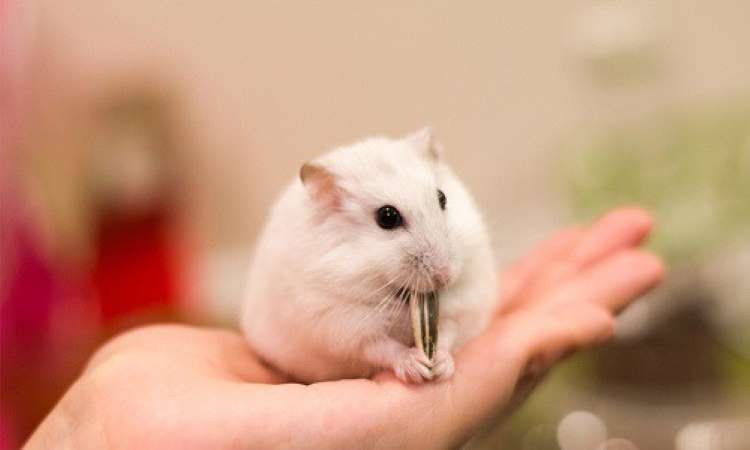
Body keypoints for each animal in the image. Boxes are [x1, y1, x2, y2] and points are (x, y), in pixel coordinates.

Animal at [241, 128, 497, 383]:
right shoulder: (345, 328)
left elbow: (448, 332)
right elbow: (381, 347)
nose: (445, 276)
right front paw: (417, 366)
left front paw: (441, 367)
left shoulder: (463, 308)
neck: (400, 297)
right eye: (387, 217)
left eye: (442, 198)